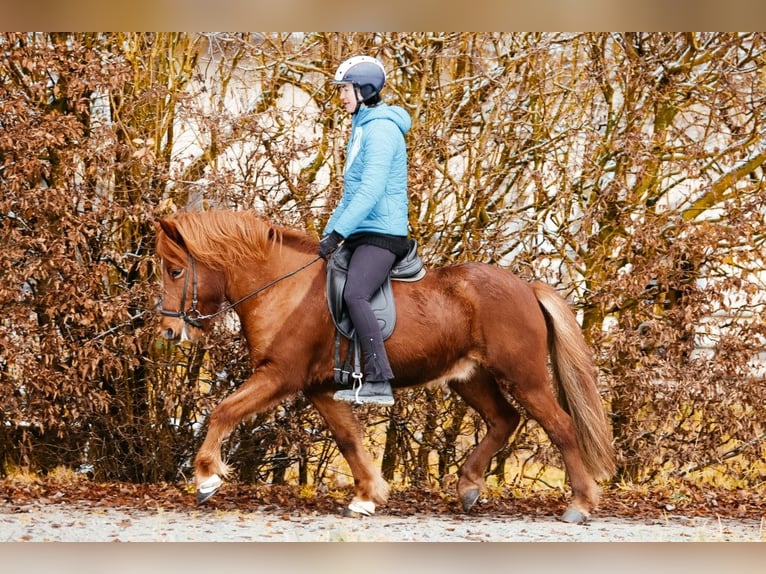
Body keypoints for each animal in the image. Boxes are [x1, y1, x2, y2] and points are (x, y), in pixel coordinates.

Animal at [155, 209, 615, 524]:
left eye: (175, 270)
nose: (169, 332)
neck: (284, 287)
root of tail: (526, 287)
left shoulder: (280, 375)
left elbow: (223, 411)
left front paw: (207, 478)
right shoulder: (319, 387)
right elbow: (347, 439)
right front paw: (368, 495)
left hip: (524, 377)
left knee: (560, 426)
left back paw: (579, 504)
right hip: (470, 377)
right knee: (504, 420)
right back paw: (469, 485)